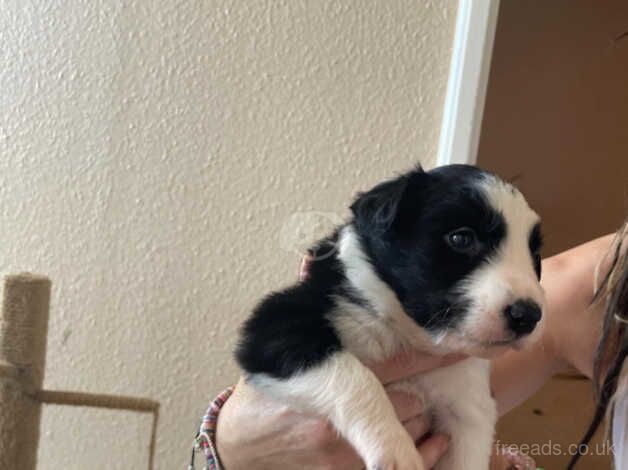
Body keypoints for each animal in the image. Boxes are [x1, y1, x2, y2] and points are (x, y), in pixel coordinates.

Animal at [238, 165, 544, 470]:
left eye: (535, 255)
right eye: (461, 238)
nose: (528, 316)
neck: (402, 334)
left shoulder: (468, 409)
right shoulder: (273, 326)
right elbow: (354, 376)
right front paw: (394, 449)